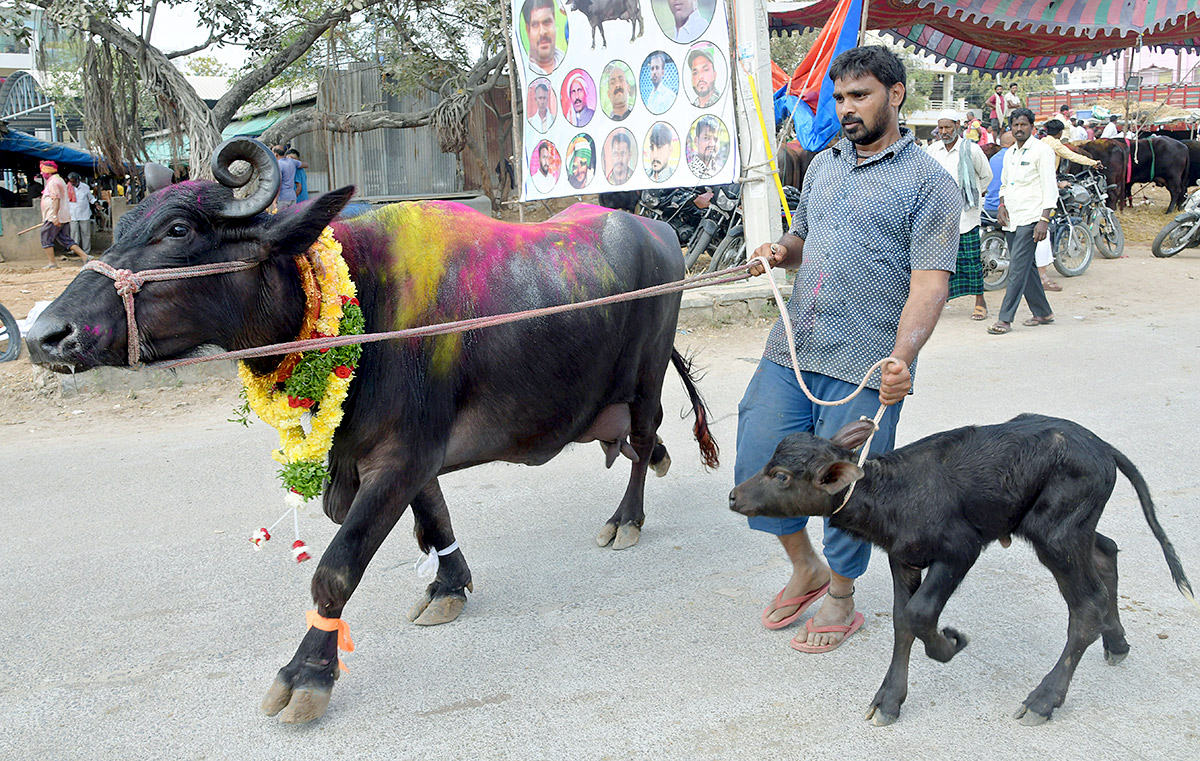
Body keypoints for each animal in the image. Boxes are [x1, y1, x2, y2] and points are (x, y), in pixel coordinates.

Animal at [25, 136, 720, 724]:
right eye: (124, 227)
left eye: (178, 229)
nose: (45, 335)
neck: (366, 306)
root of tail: (660, 231)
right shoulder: (406, 457)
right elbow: (434, 519)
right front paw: (449, 586)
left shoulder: (400, 458)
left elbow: (336, 569)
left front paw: (306, 675)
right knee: (638, 444)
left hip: (646, 379)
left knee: (641, 442)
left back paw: (626, 519)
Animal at [724, 415, 1195, 724]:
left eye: (781, 476)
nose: (734, 496)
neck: (893, 494)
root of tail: (1101, 447)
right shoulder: (903, 557)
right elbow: (902, 619)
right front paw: (888, 701)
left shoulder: (959, 550)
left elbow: (920, 615)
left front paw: (950, 644)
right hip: (1068, 529)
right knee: (1107, 554)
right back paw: (1117, 643)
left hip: (1057, 535)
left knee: (1087, 605)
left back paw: (1043, 700)